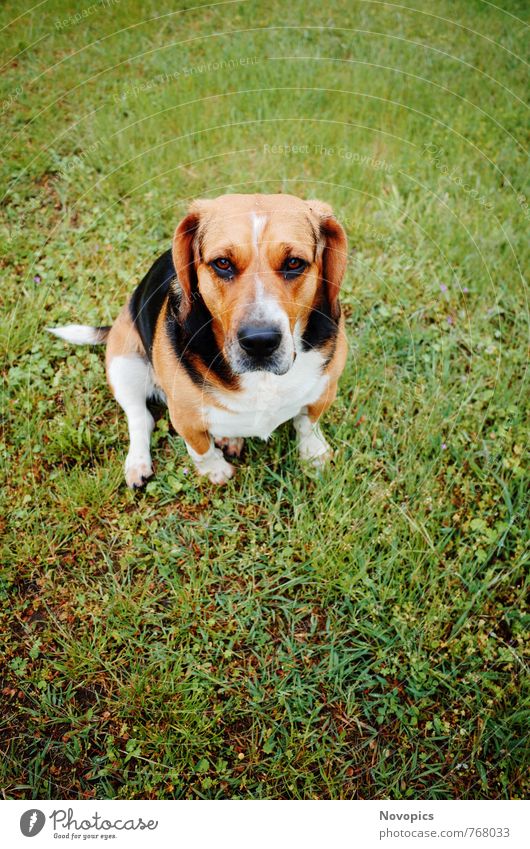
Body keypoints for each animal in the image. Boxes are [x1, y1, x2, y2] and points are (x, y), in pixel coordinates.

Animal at [48, 191, 346, 484]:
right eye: (222, 263)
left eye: (294, 262)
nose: (260, 342)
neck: (261, 379)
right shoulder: (184, 416)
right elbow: (201, 449)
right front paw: (215, 470)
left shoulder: (325, 389)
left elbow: (307, 424)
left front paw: (314, 453)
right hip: (124, 365)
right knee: (140, 418)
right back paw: (138, 463)